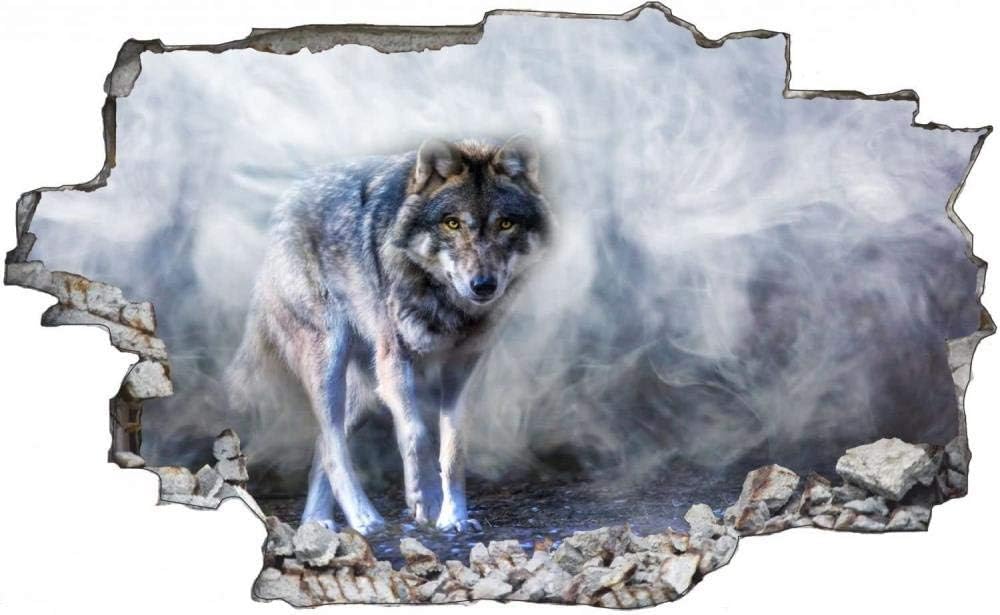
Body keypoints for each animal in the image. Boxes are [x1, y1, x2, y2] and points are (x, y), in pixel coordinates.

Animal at [226, 137, 552, 534]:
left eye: (505, 224)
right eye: (452, 223)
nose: (483, 285)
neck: (443, 304)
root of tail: (285, 205)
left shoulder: (461, 372)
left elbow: (454, 449)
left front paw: (454, 518)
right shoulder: (395, 361)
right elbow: (417, 434)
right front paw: (425, 500)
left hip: (365, 394)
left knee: (322, 445)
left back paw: (318, 522)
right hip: (329, 361)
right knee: (333, 447)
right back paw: (363, 518)